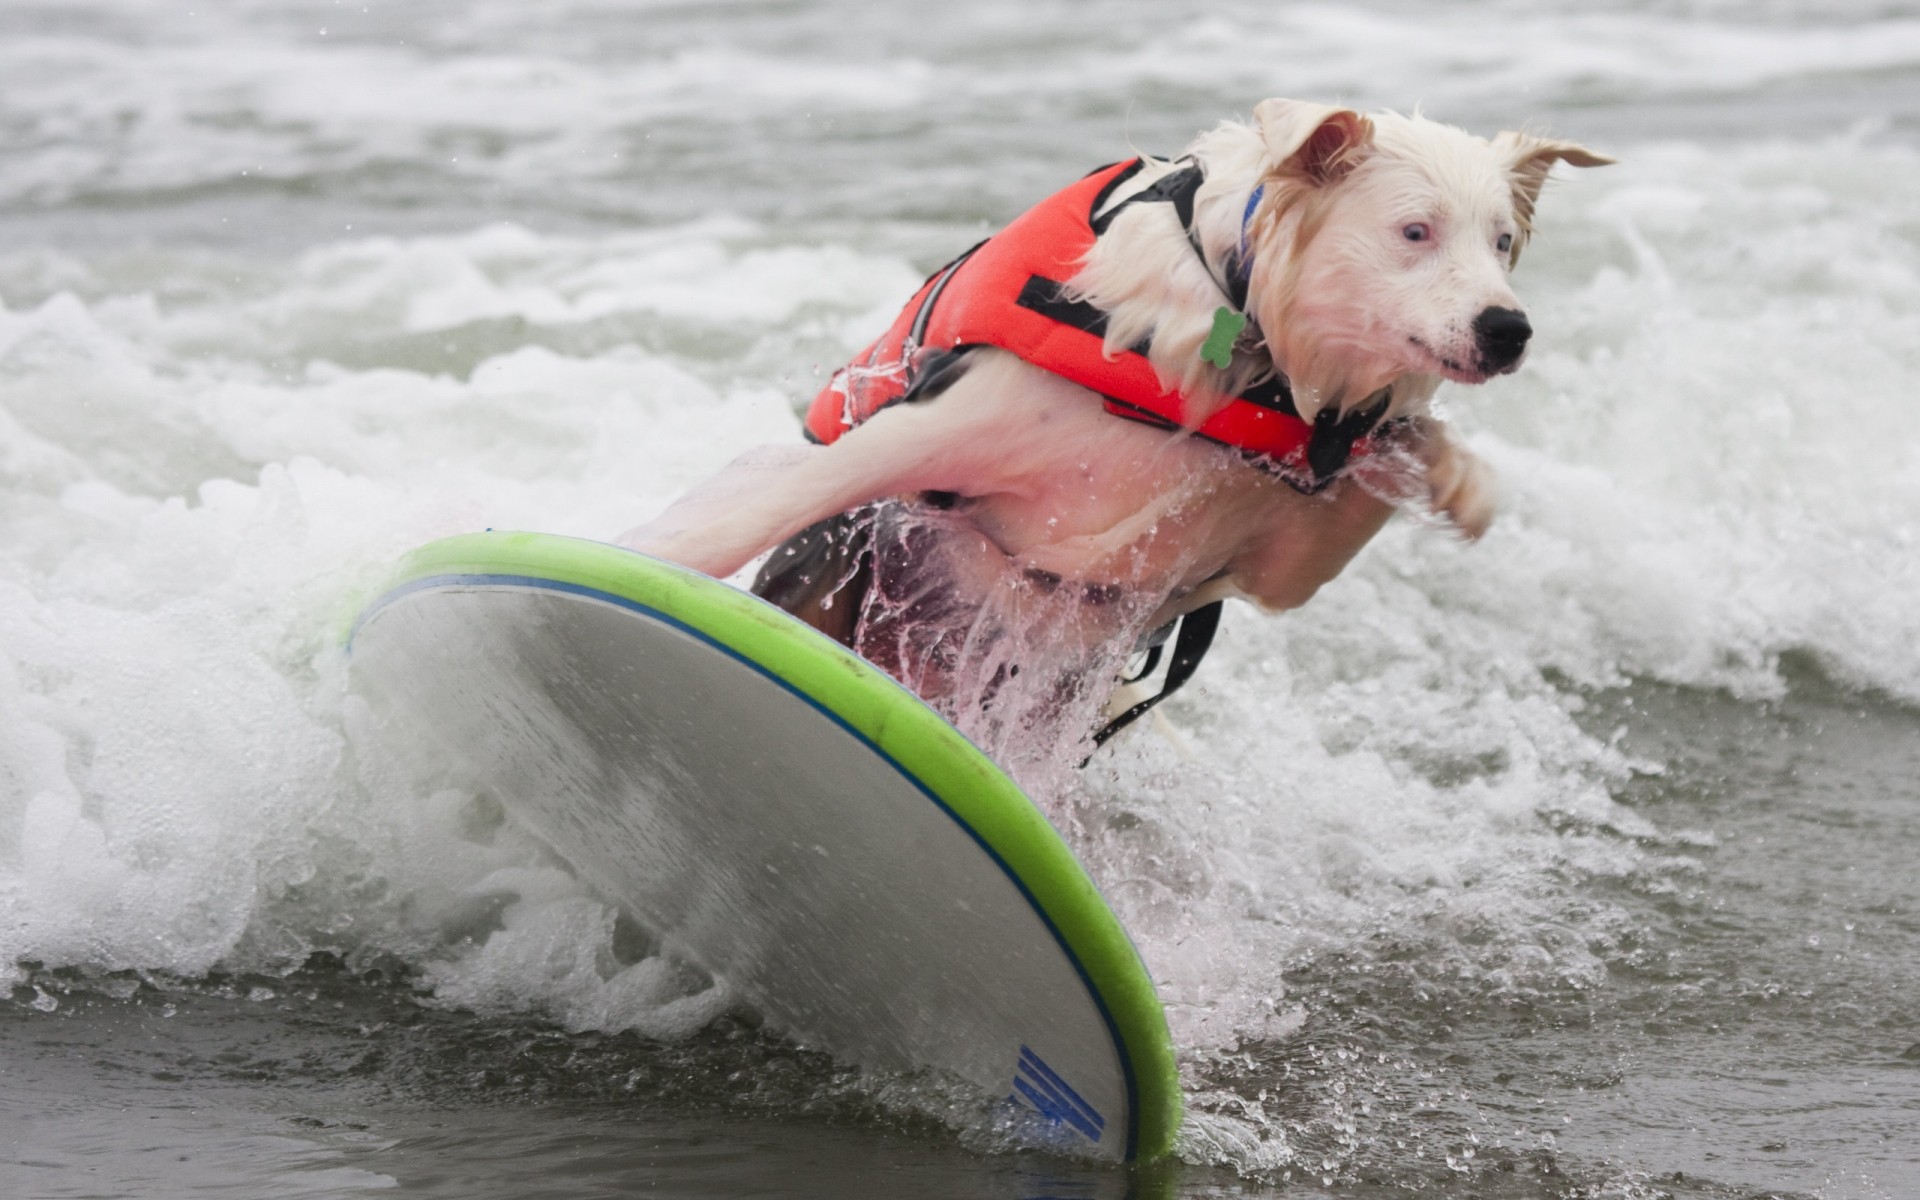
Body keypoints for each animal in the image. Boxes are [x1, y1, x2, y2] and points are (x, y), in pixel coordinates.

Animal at [625, 98, 1605, 764]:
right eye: (1414, 231)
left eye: (1503, 241)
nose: (1507, 330)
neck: (1250, 351)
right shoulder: (938, 428)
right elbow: (743, 510)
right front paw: (639, 560)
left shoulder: (1283, 553)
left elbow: (1377, 461)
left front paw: (1452, 472)